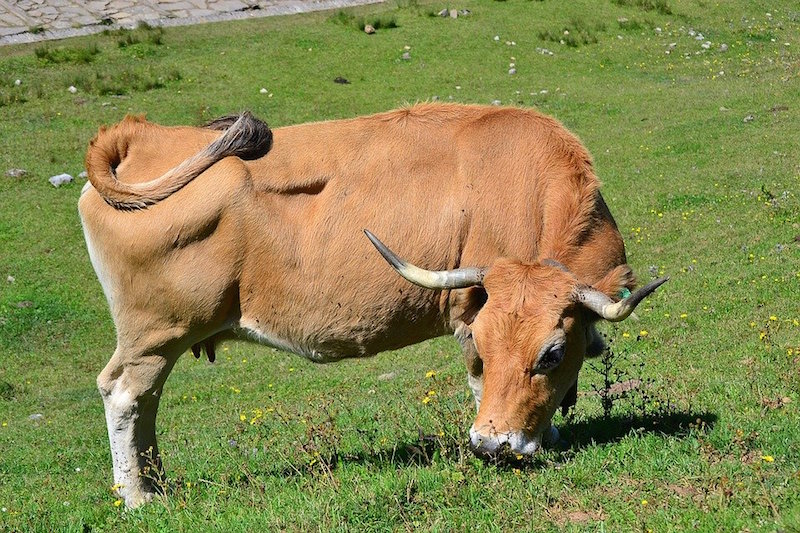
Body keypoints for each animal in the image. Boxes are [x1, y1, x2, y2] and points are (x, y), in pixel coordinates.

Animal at [79, 104, 668, 508]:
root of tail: (140, 135)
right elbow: (480, 381)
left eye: (551, 353)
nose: (492, 443)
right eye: (484, 342)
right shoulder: (467, 313)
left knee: (147, 401)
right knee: (125, 395)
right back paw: (138, 496)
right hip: (155, 335)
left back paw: (157, 483)